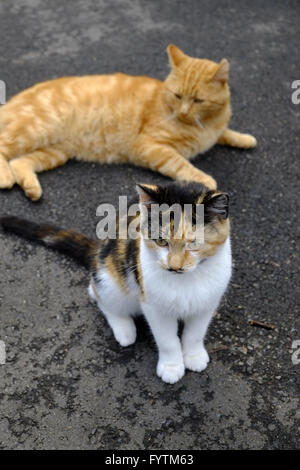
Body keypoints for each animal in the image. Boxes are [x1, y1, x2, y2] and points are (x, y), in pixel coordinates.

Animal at [0, 43, 255, 199]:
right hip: (36, 129)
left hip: (56, 152)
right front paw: (204, 179)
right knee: (3, 148)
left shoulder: (215, 129)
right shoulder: (148, 146)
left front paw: (245, 139)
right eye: (177, 96)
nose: (183, 112)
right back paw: (5, 177)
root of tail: (13, 100)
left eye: (198, 100)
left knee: (20, 162)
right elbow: (181, 164)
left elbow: (226, 133)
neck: (203, 125)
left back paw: (31, 188)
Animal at [1, 182, 232, 384]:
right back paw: (124, 330)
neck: (185, 281)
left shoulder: (208, 301)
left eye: (194, 243)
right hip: (111, 280)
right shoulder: (153, 305)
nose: (174, 266)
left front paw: (193, 356)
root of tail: (97, 251)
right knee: (96, 293)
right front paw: (172, 367)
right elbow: (167, 339)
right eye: (161, 241)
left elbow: (195, 333)